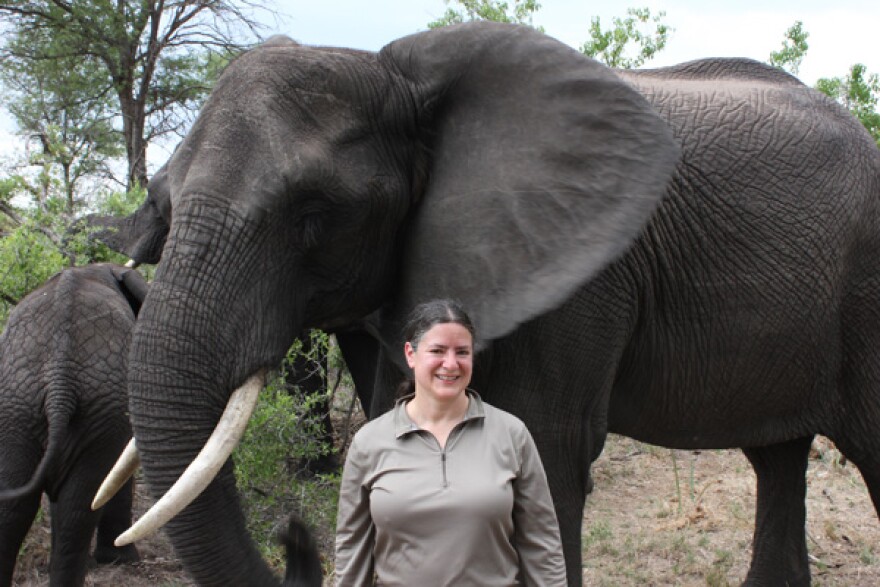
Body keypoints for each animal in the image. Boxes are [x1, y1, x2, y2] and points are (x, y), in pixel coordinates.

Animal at [0, 263, 146, 586]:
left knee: (18, 506)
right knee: (79, 507)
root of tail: (59, 381)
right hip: (93, 410)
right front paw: (121, 560)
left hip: (19, 405)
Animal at [95, 21, 880, 586]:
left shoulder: (580, 276)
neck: (403, 80)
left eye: (314, 213)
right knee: (778, 457)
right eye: (164, 202)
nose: (292, 529)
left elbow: (548, 450)